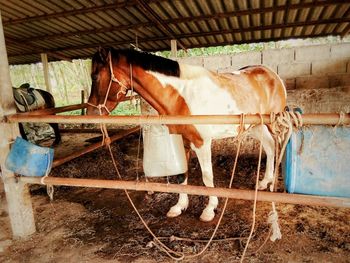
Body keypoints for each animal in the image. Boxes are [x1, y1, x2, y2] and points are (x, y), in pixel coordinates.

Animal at [86, 47, 286, 223]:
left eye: (94, 76)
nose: (90, 113)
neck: (182, 95)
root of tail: (272, 74)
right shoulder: (183, 141)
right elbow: (182, 174)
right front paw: (179, 206)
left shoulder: (201, 142)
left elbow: (207, 176)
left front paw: (209, 209)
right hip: (255, 126)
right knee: (269, 147)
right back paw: (264, 182)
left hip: (273, 123)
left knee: (278, 146)